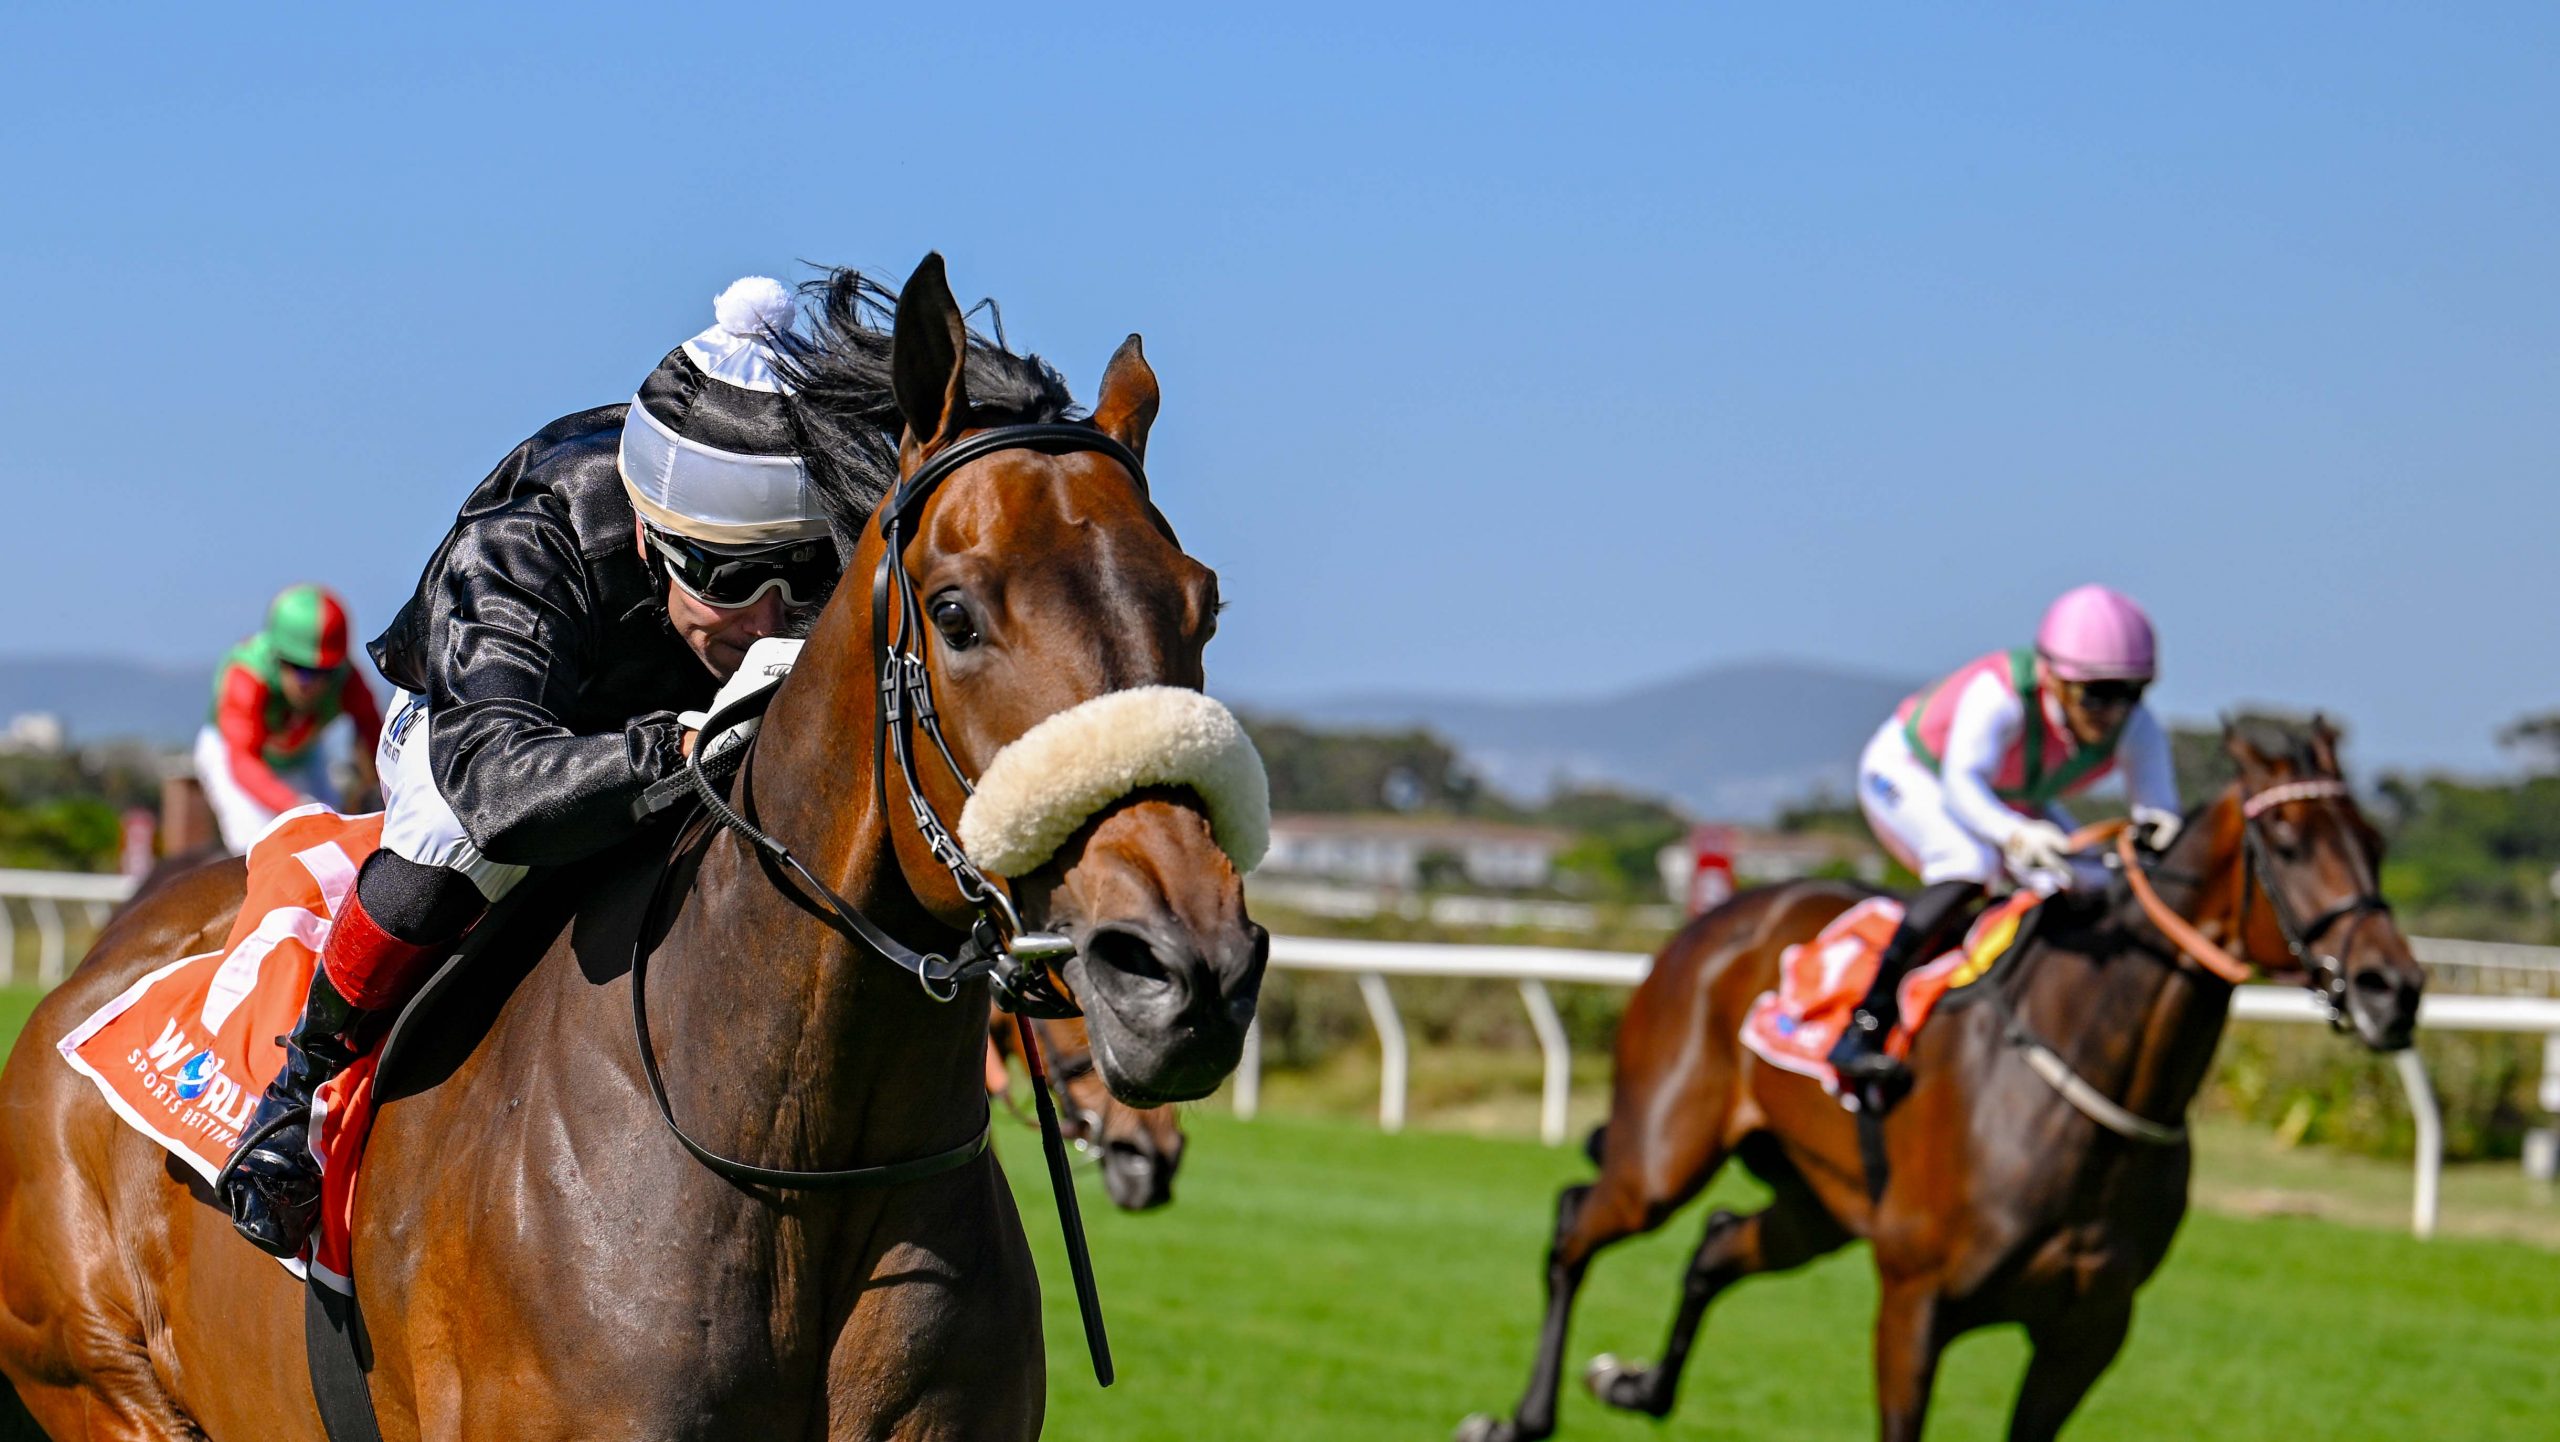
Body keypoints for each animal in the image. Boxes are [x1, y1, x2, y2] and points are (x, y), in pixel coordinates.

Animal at [0, 259, 1269, 1442]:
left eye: (1201, 605)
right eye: (954, 613)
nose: (1187, 972)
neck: (803, 1157)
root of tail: (107, 954)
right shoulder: (515, 564)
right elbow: (492, 782)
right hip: (98, 1382)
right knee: (433, 858)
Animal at [1464, 722, 2416, 1442]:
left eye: (2375, 843)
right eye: (2287, 845)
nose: (2394, 988)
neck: (2080, 1086)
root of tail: (1712, 919)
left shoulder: (2087, 1330)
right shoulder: (1915, 1305)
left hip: (1817, 1201)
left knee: (1717, 1242)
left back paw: (1633, 1384)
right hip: (1662, 1157)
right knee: (1576, 1224)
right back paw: (1516, 1419)